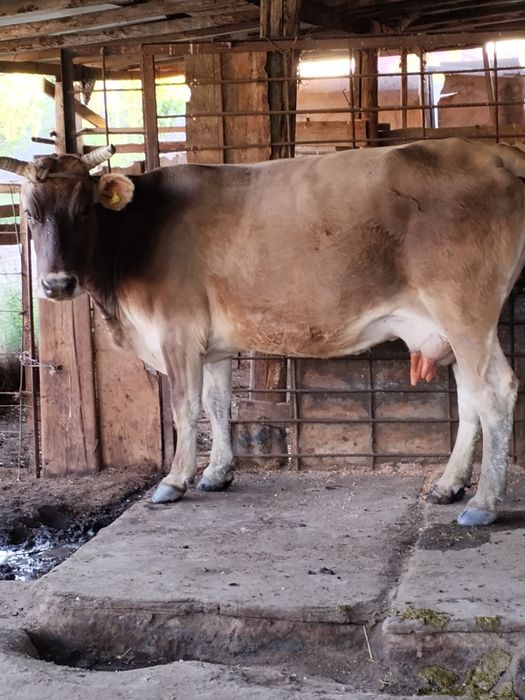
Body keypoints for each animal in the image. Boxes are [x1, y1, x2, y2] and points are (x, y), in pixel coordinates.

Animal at [2, 137, 525, 527]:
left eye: (85, 211)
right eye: (29, 213)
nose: (56, 284)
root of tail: (491, 151)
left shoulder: (176, 331)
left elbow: (183, 408)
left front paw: (174, 480)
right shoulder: (210, 345)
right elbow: (217, 403)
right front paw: (217, 473)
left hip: (465, 312)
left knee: (495, 390)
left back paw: (483, 503)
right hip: (452, 327)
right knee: (470, 398)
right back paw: (449, 485)